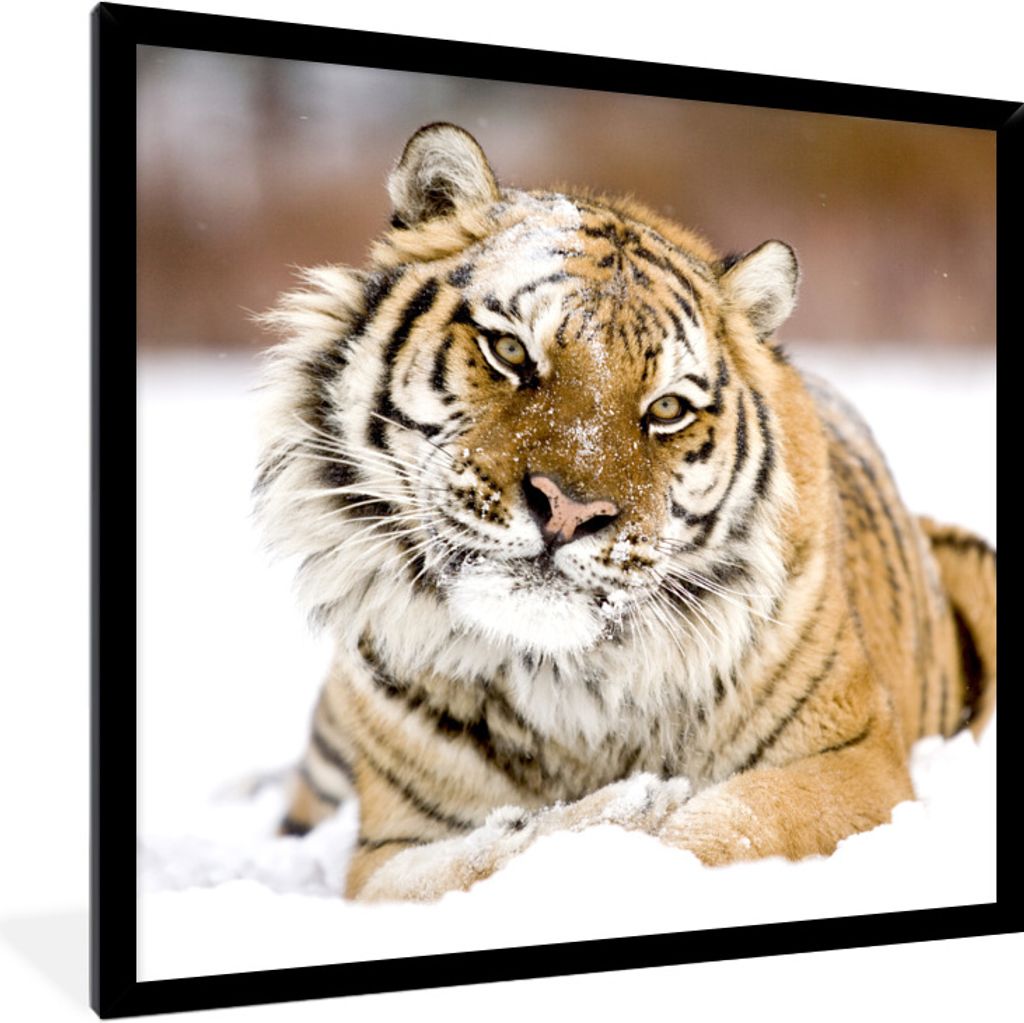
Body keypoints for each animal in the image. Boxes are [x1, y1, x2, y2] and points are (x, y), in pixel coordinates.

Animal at [254, 122, 996, 902]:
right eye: (509, 349)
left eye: (667, 408)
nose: (569, 510)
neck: (563, 690)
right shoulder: (386, 851)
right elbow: (477, 862)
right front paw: (619, 809)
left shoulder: (855, 766)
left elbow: (721, 830)